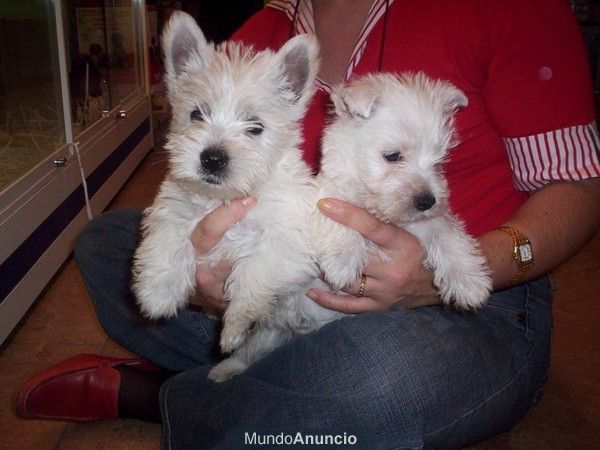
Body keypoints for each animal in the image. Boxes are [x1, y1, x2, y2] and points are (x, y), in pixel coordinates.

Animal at [134, 12, 342, 382]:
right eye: (197, 114)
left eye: (255, 127)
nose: (212, 158)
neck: (224, 197)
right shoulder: (174, 205)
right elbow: (167, 239)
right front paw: (157, 295)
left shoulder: (286, 243)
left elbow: (253, 276)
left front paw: (232, 327)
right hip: (269, 335)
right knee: (250, 355)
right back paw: (222, 370)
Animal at [314, 74, 492, 312]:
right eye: (392, 156)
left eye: (438, 162)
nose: (427, 201)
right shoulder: (326, 193)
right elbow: (337, 209)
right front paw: (343, 261)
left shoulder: (422, 222)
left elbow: (444, 230)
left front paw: (469, 281)